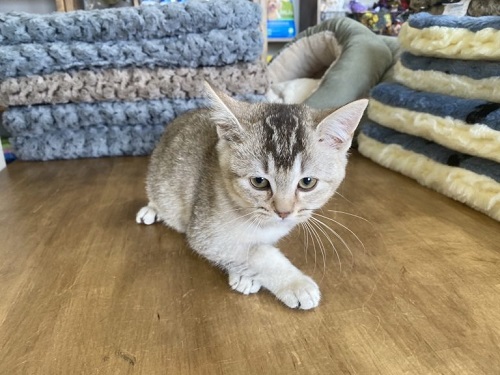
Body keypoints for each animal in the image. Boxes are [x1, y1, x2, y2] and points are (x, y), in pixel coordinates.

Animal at [137, 83, 368, 312]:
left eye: (307, 182)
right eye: (259, 181)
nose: (283, 212)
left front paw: (245, 276)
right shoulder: (205, 234)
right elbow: (257, 254)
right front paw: (296, 284)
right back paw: (151, 210)